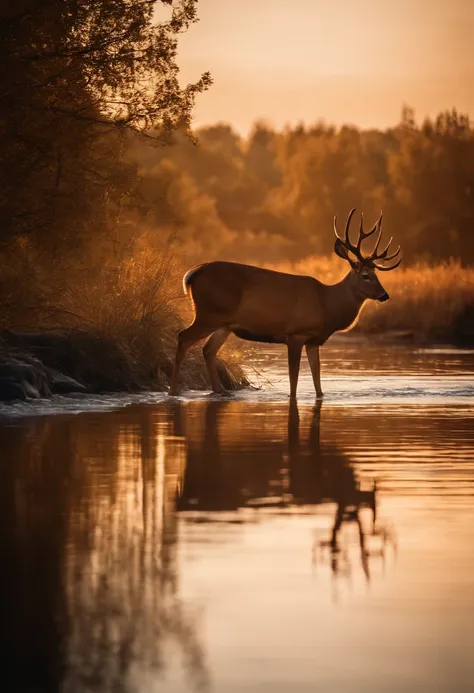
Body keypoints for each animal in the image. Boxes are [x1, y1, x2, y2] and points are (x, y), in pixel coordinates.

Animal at [168, 208, 402, 398]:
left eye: (376, 274)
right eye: (365, 276)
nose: (384, 295)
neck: (326, 304)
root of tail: (193, 273)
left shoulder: (314, 340)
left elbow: (318, 382)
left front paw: (320, 396)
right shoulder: (295, 334)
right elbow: (294, 379)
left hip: (225, 324)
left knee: (208, 350)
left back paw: (218, 392)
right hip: (208, 313)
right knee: (183, 337)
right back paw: (173, 392)